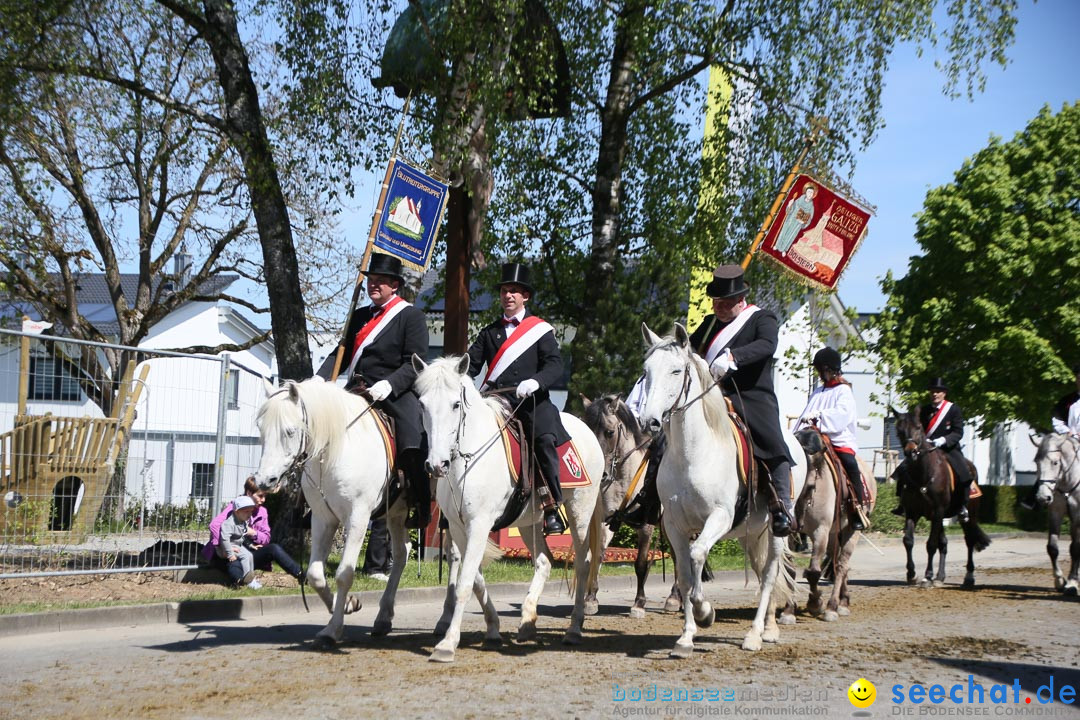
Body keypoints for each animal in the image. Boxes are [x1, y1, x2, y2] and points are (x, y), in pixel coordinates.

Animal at [250, 377, 410, 647]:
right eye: (260, 428)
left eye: (290, 431)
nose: (264, 481)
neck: (335, 450)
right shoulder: (322, 518)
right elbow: (315, 574)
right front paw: (346, 605)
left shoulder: (357, 518)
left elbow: (344, 574)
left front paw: (334, 629)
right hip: (396, 514)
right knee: (402, 553)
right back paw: (383, 618)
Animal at [410, 354, 604, 664]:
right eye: (422, 404)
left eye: (455, 404)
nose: (436, 465)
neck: (468, 459)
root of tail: (586, 428)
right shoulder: (459, 527)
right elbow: (475, 579)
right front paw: (493, 628)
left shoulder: (479, 524)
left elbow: (465, 582)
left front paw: (447, 644)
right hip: (530, 522)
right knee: (544, 561)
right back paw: (527, 621)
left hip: (580, 512)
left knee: (584, 564)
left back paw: (574, 629)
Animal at [639, 323, 803, 656]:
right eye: (646, 371)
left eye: (676, 371)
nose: (649, 422)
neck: (692, 454)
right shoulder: (674, 525)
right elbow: (685, 574)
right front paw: (686, 638)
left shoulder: (719, 517)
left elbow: (698, 554)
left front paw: (705, 613)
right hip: (752, 533)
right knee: (761, 570)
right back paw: (769, 628)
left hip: (777, 530)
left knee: (769, 575)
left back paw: (755, 635)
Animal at [889, 408, 989, 587]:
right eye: (899, 429)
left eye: (918, 427)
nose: (910, 452)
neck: (923, 474)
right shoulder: (913, 512)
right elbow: (908, 541)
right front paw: (912, 574)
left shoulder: (937, 510)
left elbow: (931, 544)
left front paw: (927, 576)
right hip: (940, 517)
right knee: (944, 544)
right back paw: (940, 577)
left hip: (968, 515)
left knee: (969, 540)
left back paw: (968, 576)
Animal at [1028, 433, 1080, 595]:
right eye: (1036, 462)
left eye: (1055, 462)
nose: (1042, 497)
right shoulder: (1055, 512)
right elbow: (1052, 547)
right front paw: (1059, 580)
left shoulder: (1078, 516)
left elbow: (1075, 548)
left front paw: (1072, 583)